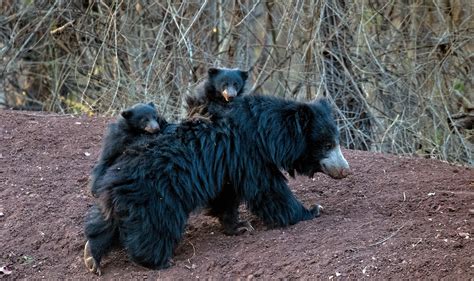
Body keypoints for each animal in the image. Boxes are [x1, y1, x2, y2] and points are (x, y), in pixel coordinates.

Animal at [84, 94, 348, 274]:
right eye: (326, 144)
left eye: (337, 141)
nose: (345, 170)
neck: (267, 133)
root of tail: (111, 176)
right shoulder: (249, 154)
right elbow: (269, 190)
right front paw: (311, 210)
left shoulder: (229, 164)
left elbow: (226, 197)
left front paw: (239, 226)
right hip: (155, 196)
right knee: (155, 227)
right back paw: (158, 260)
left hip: (126, 200)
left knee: (104, 223)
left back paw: (91, 257)